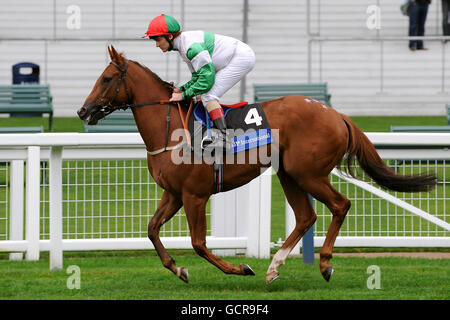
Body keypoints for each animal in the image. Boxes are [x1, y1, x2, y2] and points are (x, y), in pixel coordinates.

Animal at [77, 46, 436, 284]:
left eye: (107, 78)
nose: (83, 111)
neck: (172, 128)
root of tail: (335, 114)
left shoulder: (195, 195)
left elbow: (199, 243)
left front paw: (240, 268)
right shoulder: (174, 194)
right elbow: (152, 230)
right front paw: (178, 269)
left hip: (309, 173)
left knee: (340, 204)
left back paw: (324, 264)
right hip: (290, 174)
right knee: (306, 216)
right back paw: (275, 266)